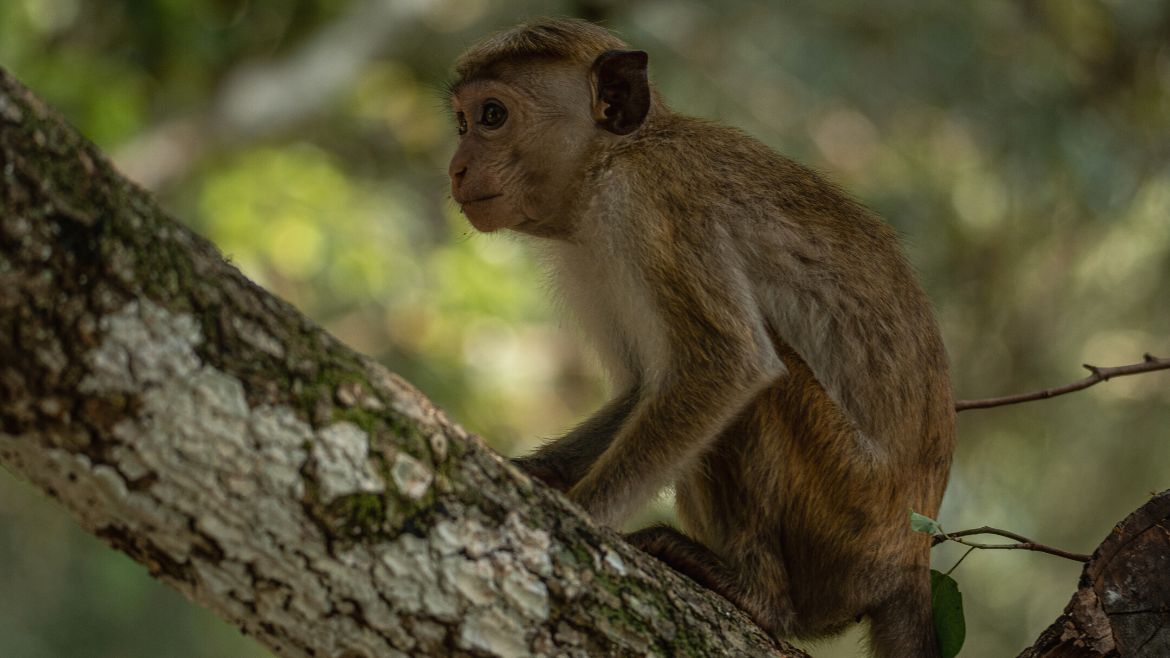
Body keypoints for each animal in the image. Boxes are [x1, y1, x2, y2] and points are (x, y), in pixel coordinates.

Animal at [444, 17, 950, 650]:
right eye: (462, 122)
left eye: (492, 115)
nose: (456, 167)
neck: (612, 159)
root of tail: (909, 561)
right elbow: (645, 386)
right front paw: (536, 472)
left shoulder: (654, 206)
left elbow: (730, 364)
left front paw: (583, 514)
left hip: (849, 519)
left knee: (763, 390)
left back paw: (758, 596)